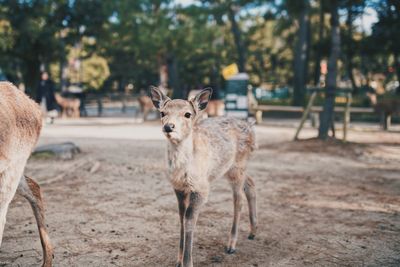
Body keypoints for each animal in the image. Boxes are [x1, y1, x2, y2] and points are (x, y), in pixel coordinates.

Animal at [149, 87, 256, 266]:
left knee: (238, 199)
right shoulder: (178, 187)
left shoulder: (201, 188)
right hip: (233, 168)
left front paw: (187, 262)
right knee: (251, 182)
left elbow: (189, 219)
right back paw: (253, 232)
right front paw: (178, 260)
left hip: (238, 165)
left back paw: (231, 245)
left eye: (187, 114)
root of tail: (251, 127)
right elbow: (181, 218)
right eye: (163, 112)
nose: (168, 127)